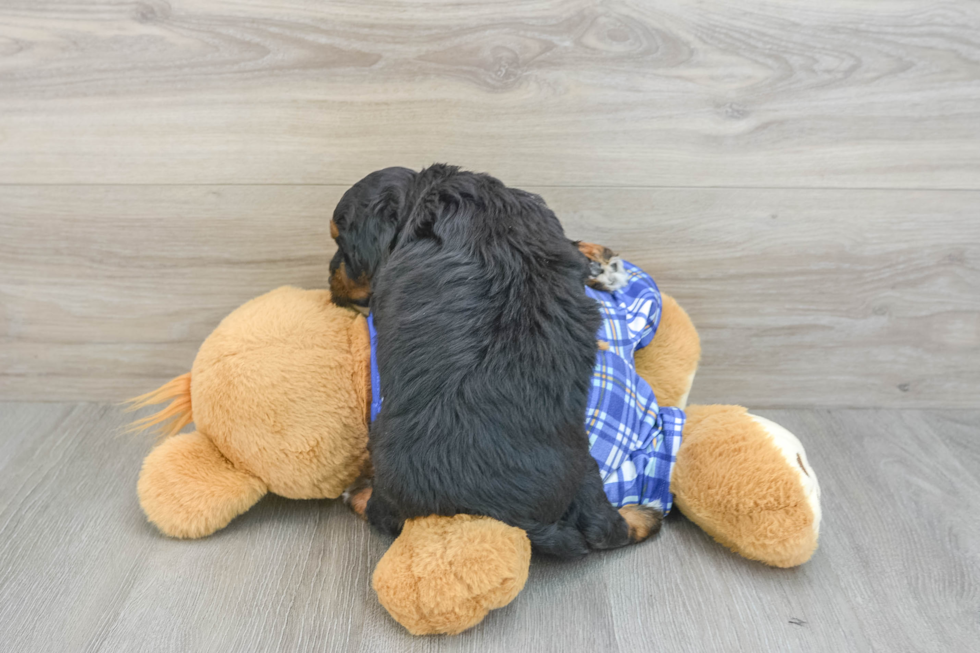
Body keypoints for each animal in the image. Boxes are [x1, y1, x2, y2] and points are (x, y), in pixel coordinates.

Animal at [330, 166, 660, 556]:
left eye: (340, 244)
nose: (329, 273)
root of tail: (513, 520)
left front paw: (603, 263)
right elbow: (570, 248)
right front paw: (600, 263)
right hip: (585, 466)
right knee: (605, 527)